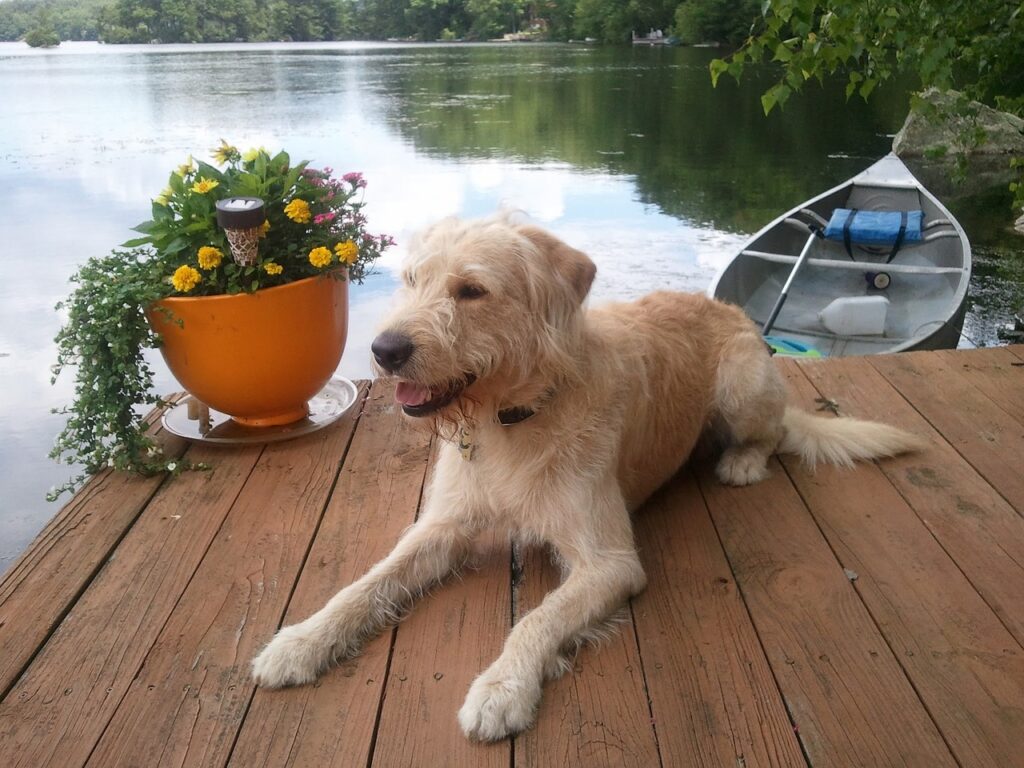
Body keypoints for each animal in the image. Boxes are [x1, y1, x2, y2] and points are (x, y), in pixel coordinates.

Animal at [251, 214, 925, 741]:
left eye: (472, 290)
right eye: (412, 280)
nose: (384, 351)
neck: (513, 419)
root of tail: (725, 308)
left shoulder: (611, 562)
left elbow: (537, 619)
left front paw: (501, 688)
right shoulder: (442, 526)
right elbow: (368, 584)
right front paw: (300, 641)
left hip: (743, 384)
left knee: (771, 432)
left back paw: (741, 461)